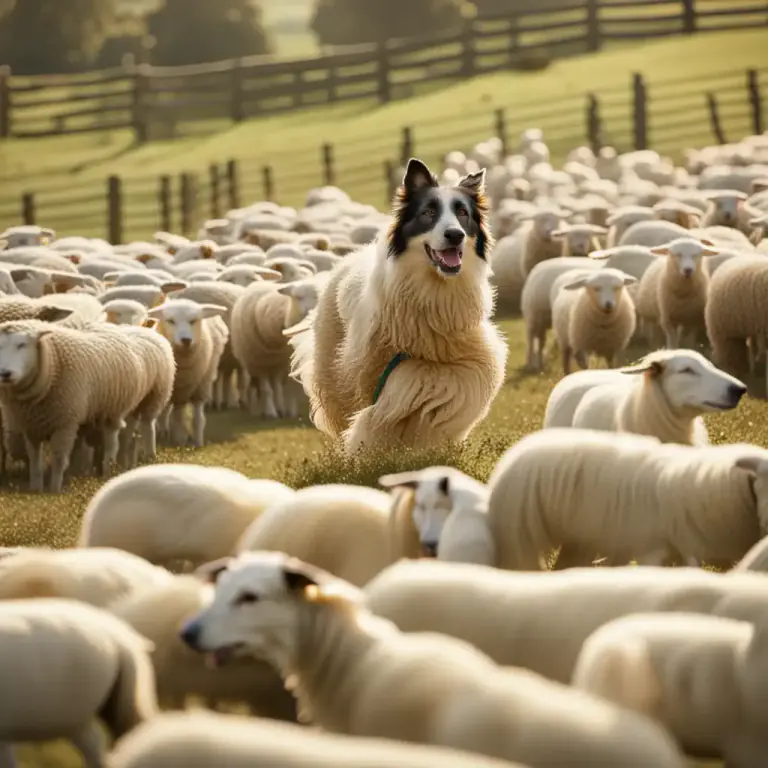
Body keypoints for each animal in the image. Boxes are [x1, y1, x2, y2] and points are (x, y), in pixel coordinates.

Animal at [0, 320, 154, 491]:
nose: (5, 374)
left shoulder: (64, 424)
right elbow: (34, 459)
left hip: (112, 412)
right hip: (86, 416)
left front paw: (54, 490)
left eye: (22, 344)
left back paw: (108, 471)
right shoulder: (31, 427)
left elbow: (59, 459)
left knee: (111, 444)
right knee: (80, 445)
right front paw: (35, 489)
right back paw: (75, 473)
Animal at [147, 299, 228, 447]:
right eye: (171, 321)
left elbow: (196, 418)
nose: (186, 340)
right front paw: (179, 439)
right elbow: (176, 417)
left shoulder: (197, 390)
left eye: (193, 320)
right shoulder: (176, 391)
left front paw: (196, 441)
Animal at [230, 279, 321, 419]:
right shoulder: (258, 364)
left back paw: (280, 407)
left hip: (277, 365)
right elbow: (267, 390)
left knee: (277, 385)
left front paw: (287, 411)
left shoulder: (284, 364)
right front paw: (270, 412)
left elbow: (284, 389)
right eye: (298, 297)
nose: (309, 313)